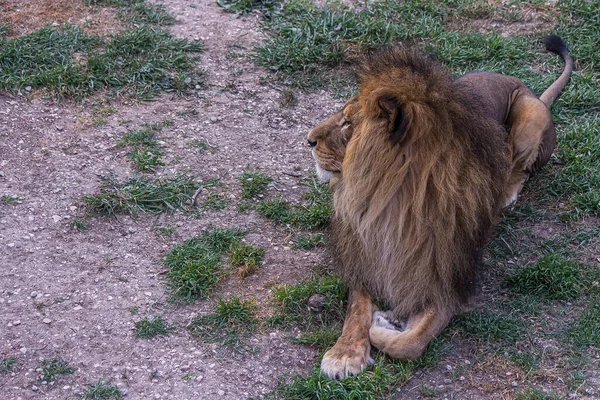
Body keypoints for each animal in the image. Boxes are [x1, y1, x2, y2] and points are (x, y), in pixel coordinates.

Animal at [308, 36, 576, 380]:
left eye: (347, 124)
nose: (308, 140)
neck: (392, 204)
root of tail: (529, 89)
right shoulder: (364, 254)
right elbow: (357, 309)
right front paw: (345, 353)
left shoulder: (447, 278)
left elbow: (410, 343)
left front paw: (385, 323)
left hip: (531, 117)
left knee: (520, 167)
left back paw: (505, 194)